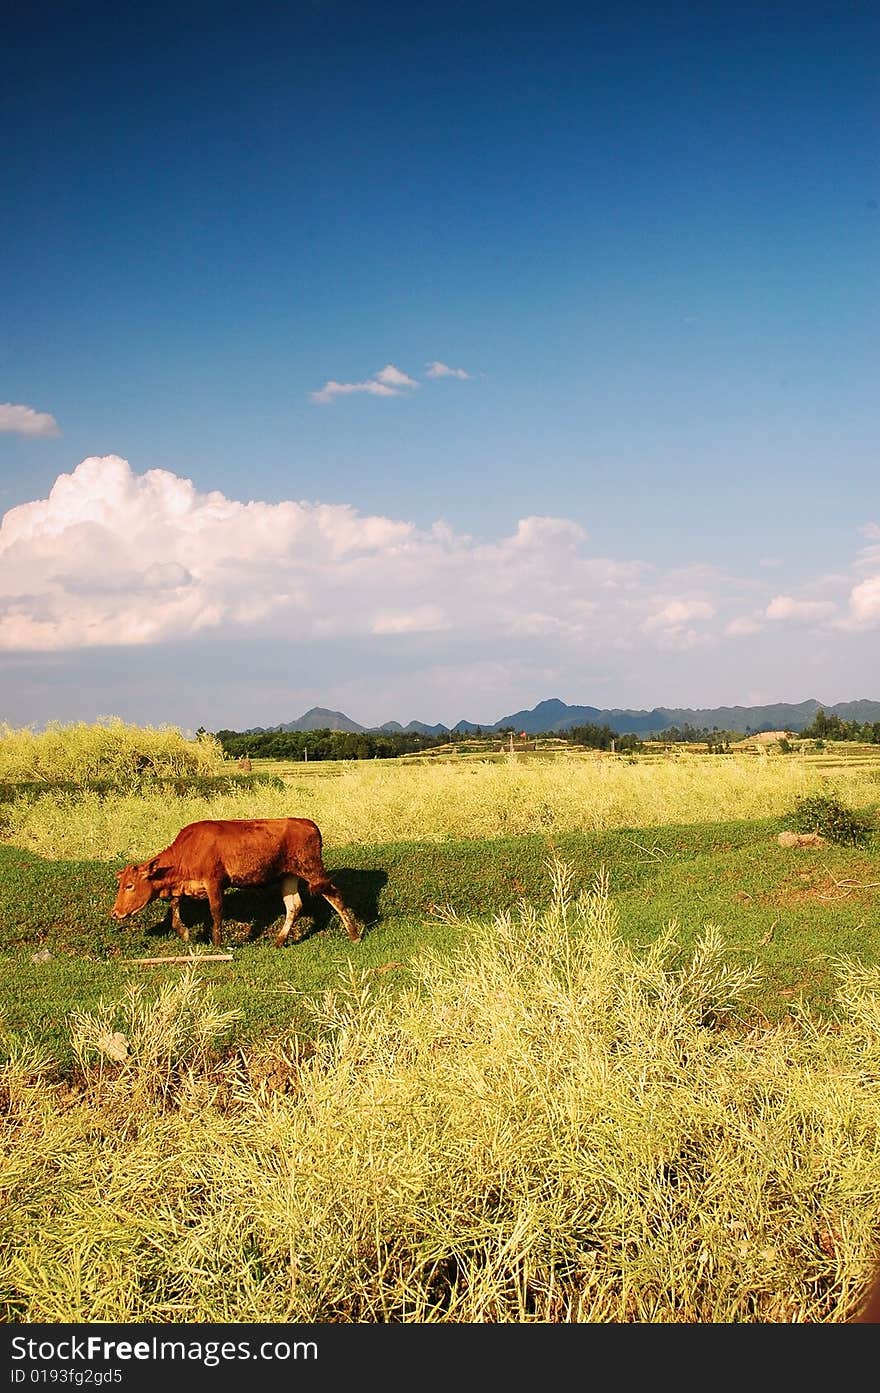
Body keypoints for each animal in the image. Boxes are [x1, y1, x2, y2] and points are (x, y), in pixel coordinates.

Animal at [110, 813, 362, 947]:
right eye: (120, 885)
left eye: (130, 885)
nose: (115, 913)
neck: (188, 852)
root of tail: (307, 822)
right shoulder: (183, 886)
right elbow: (175, 906)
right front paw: (183, 932)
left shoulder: (214, 881)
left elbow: (216, 911)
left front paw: (217, 942)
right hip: (288, 875)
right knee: (294, 906)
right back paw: (279, 940)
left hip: (312, 869)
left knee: (335, 895)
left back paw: (354, 934)